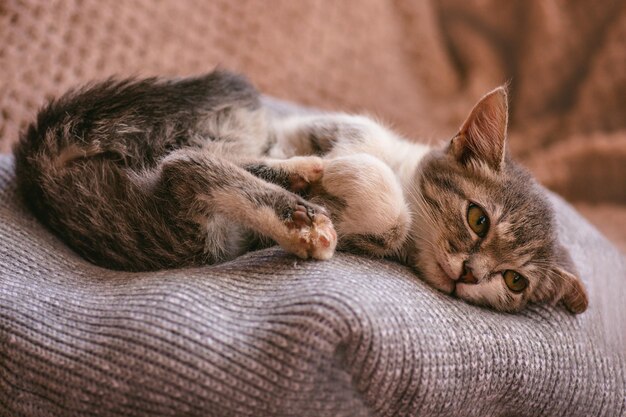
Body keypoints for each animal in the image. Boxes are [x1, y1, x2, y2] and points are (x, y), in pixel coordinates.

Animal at [12, 70, 588, 312]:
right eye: (478, 219)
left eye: (513, 281)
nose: (469, 274)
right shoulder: (330, 124)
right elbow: (363, 158)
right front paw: (340, 168)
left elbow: (386, 219)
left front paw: (339, 182)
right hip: (232, 106)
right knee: (190, 161)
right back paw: (302, 186)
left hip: (197, 232)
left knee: (185, 170)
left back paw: (301, 209)